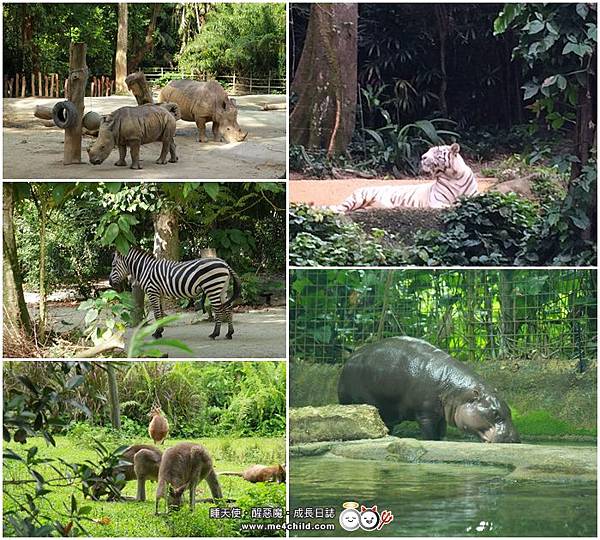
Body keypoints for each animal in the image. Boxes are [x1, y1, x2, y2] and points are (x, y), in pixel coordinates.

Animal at [108, 248, 241, 340]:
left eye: (113, 265)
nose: (109, 282)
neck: (145, 269)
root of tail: (224, 263)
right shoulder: (159, 294)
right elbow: (160, 313)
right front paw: (160, 331)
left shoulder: (152, 292)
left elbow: (156, 313)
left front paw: (157, 333)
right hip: (222, 288)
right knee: (228, 308)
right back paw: (229, 333)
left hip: (212, 287)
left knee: (218, 309)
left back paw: (215, 334)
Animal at [328, 144, 478, 214]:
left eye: (436, 152)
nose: (422, 157)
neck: (453, 176)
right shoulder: (437, 201)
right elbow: (448, 205)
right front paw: (457, 204)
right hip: (358, 197)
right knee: (339, 207)